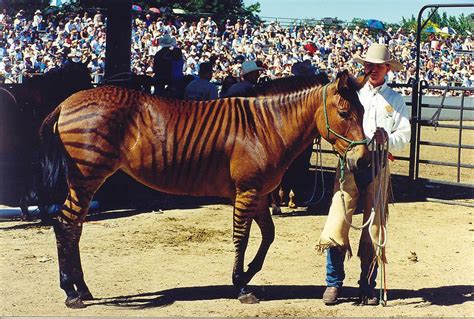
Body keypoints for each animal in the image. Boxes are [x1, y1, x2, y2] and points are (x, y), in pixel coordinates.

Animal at [39, 69, 370, 308]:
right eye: (344, 113)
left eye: (365, 112)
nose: (363, 161)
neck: (267, 128)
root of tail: (65, 103)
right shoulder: (247, 191)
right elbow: (241, 238)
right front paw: (241, 285)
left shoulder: (259, 193)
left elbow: (268, 236)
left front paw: (247, 274)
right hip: (87, 176)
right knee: (65, 224)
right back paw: (71, 293)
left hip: (85, 179)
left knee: (73, 227)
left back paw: (82, 289)